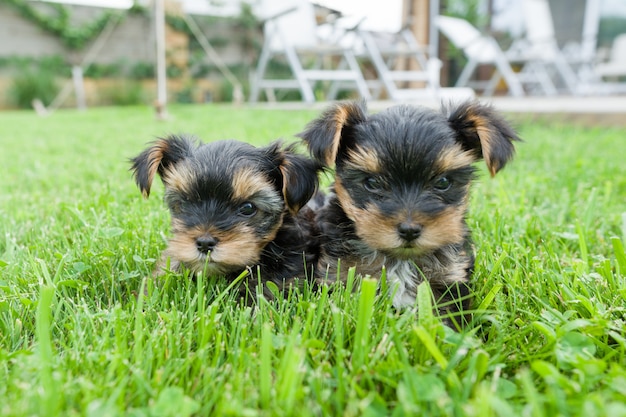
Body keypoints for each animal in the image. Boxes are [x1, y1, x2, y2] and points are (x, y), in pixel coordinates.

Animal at [298, 101, 516, 322]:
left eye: (443, 182)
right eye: (372, 183)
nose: (409, 230)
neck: (401, 259)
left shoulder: (450, 277)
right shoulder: (338, 272)